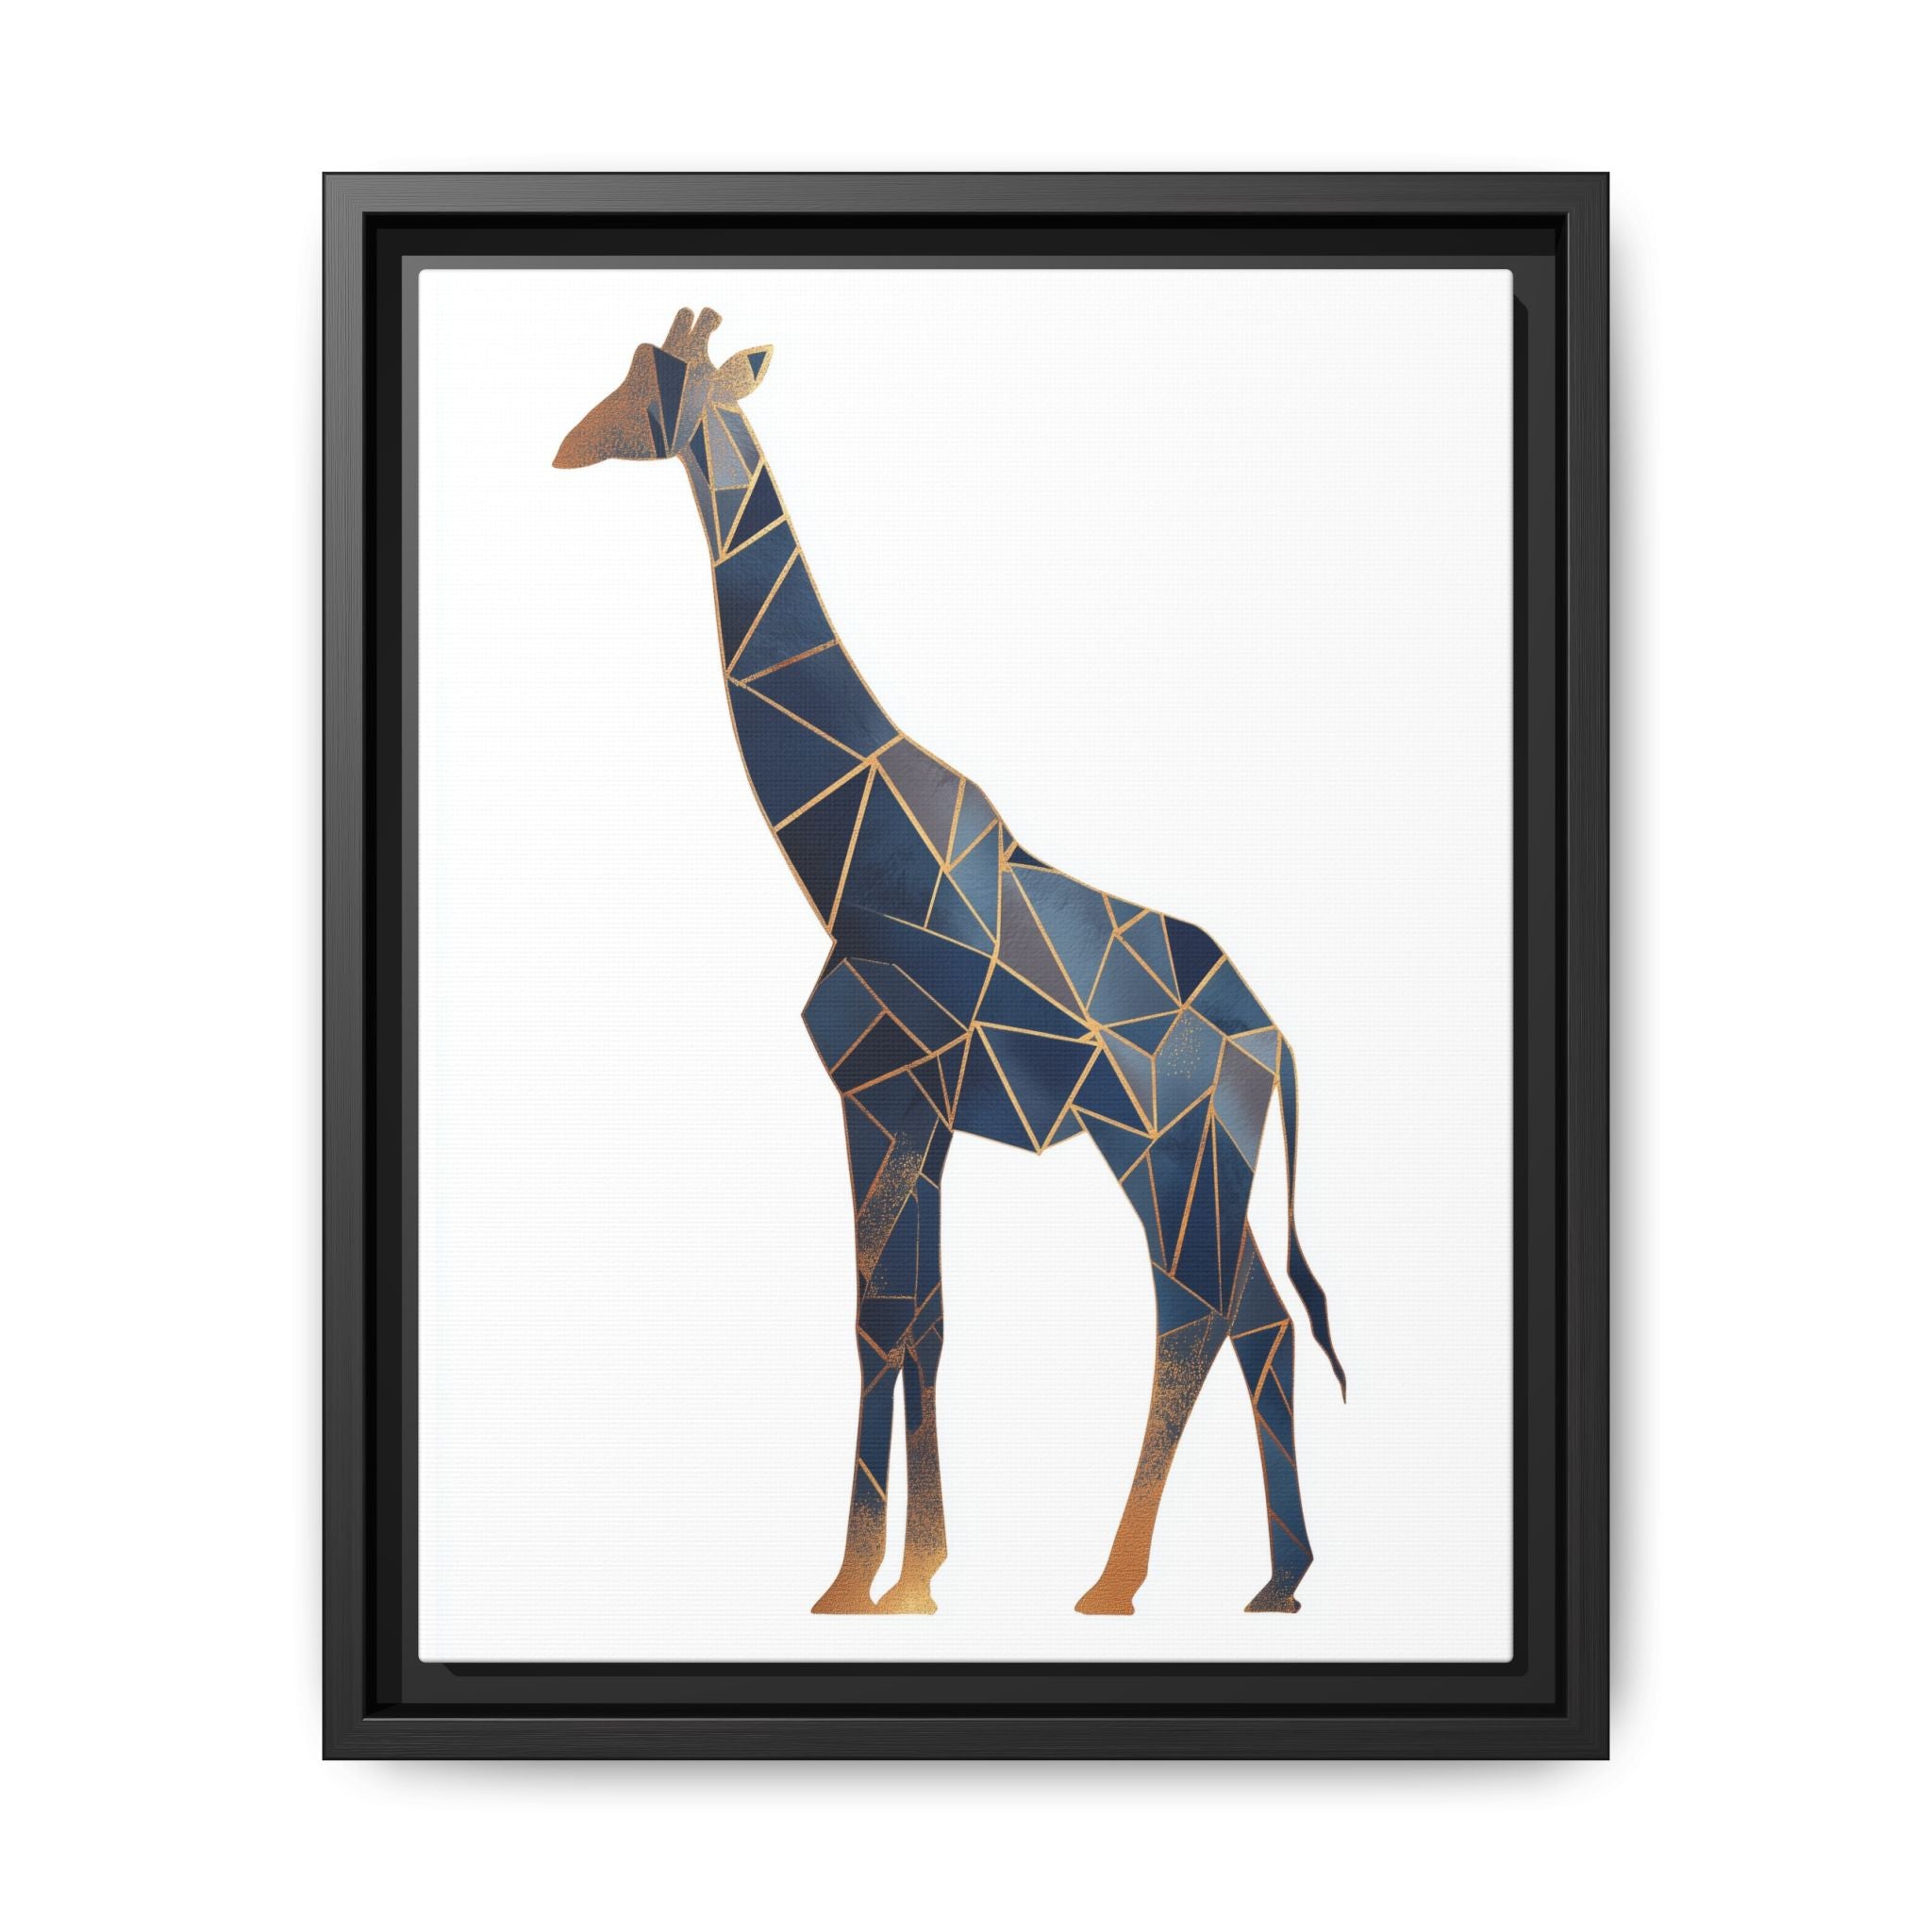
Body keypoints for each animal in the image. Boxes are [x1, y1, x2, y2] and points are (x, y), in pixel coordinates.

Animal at [554, 307, 1345, 1617]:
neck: (845, 852)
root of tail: (1271, 1038)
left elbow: (883, 1318)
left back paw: (1117, 1581)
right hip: (1201, 1159)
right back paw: (1275, 1578)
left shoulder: (881, 1091)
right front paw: (901, 1573)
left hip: (1161, 1148)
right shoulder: (911, 1112)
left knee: (1195, 1314)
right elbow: (915, 1319)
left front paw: (866, 1579)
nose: (569, 444)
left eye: (654, 385)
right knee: (1257, 1321)